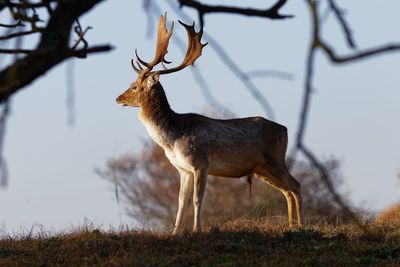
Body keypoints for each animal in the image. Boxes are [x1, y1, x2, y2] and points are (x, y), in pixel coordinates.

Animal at [115, 14, 304, 234]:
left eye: (134, 86)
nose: (118, 98)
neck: (173, 137)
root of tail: (285, 129)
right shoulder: (183, 169)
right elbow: (180, 202)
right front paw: (175, 232)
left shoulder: (200, 162)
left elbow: (197, 199)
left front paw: (197, 229)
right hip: (261, 168)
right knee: (287, 190)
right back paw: (291, 224)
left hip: (276, 159)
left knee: (296, 185)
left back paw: (301, 224)